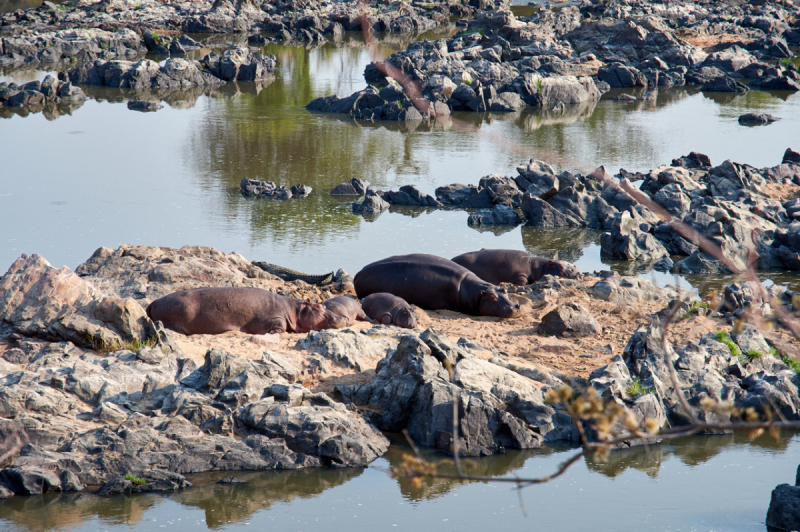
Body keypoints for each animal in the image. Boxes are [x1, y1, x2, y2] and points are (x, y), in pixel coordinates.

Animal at [450, 249, 580, 286]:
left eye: (569, 265)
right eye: (561, 266)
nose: (577, 275)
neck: (540, 266)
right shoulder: (519, 274)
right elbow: (523, 280)